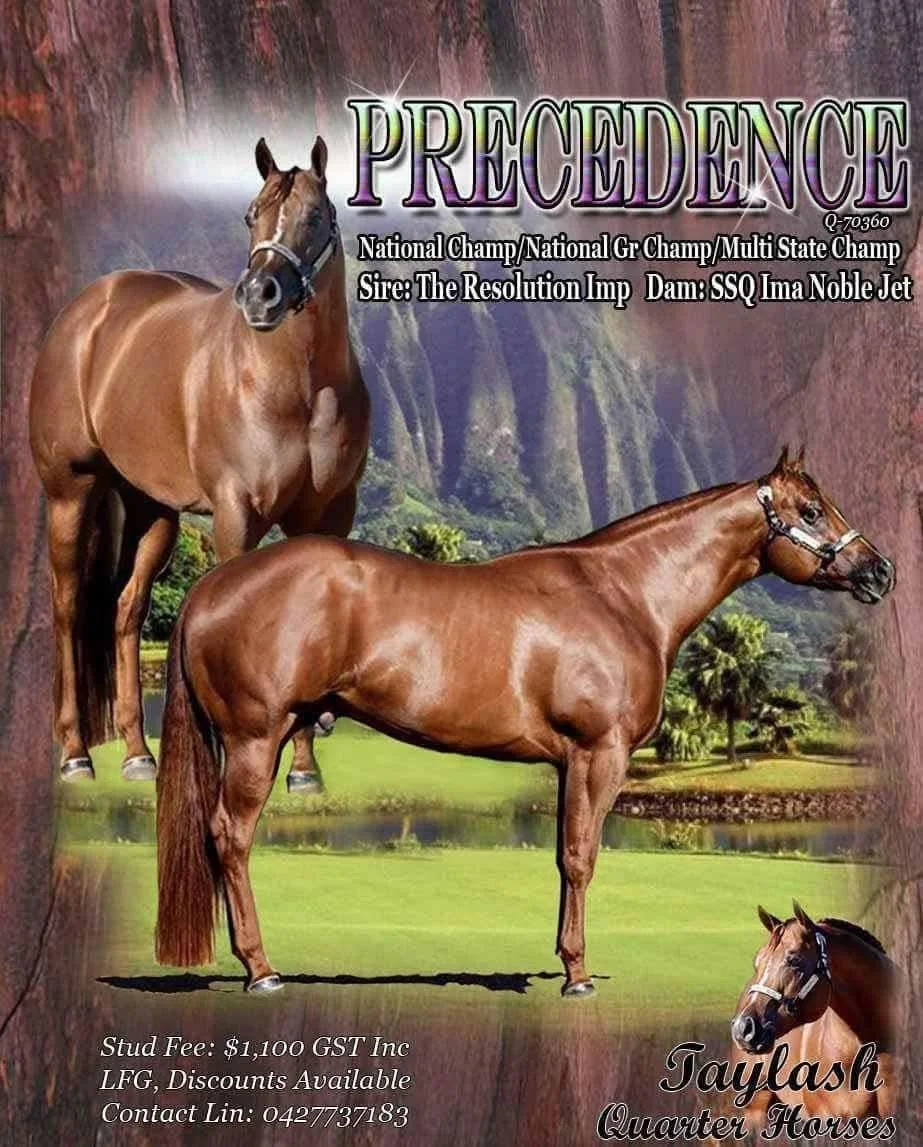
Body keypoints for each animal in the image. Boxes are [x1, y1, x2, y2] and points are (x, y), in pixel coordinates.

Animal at [29, 136, 369, 791]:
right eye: (251, 216)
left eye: (316, 217)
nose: (259, 296)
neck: (295, 388)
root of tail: (85, 311)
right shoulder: (237, 514)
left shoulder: (328, 516)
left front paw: (304, 773)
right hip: (70, 493)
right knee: (67, 605)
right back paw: (76, 755)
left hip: (153, 513)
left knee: (125, 612)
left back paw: (138, 755)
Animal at [153, 448, 895, 993]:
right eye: (809, 509)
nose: (879, 570)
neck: (624, 595)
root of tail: (213, 585)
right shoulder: (600, 754)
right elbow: (581, 857)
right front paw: (577, 976)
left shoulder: (569, 763)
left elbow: (563, 858)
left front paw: (566, 960)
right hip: (256, 738)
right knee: (230, 837)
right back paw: (261, 969)